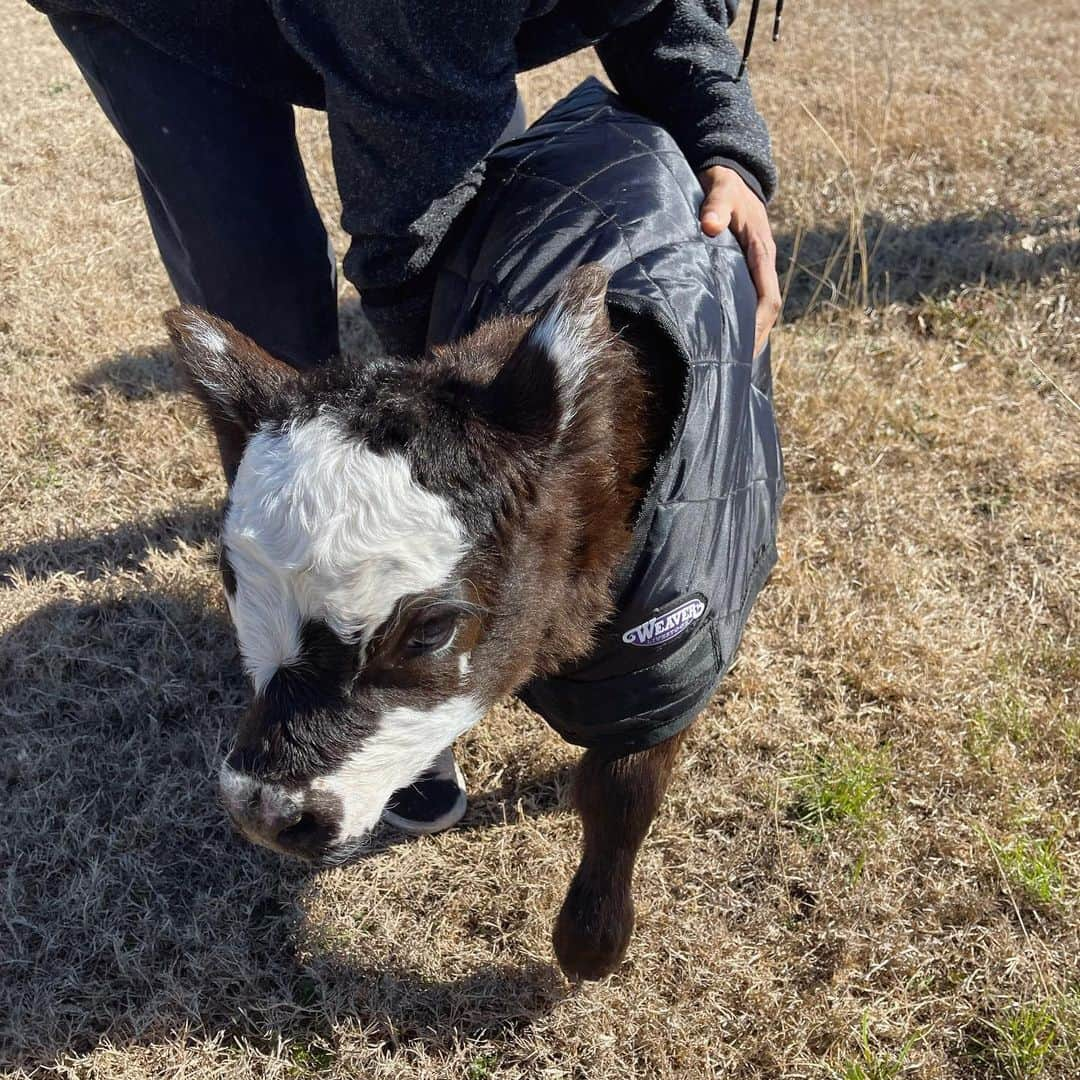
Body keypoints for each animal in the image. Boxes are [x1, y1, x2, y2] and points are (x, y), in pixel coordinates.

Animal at [168, 263, 682, 980]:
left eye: (431, 630)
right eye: (234, 581)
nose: (264, 812)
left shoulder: (665, 652)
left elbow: (625, 788)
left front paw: (589, 947)